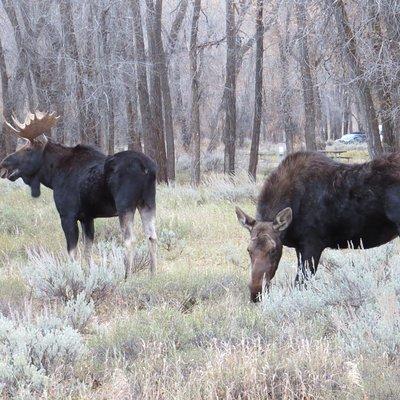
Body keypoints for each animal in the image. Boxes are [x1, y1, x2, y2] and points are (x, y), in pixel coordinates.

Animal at [0, 111, 157, 276]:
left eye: (28, 149)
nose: (3, 164)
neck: (53, 175)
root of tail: (147, 168)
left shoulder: (67, 215)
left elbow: (72, 251)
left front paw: (73, 274)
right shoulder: (87, 217)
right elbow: (87, 250)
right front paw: (88, 274)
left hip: (125, 205)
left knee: (130, 239)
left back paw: (127, 276)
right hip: (147, 203)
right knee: (152, 236)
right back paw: (153, 274)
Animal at [236, 152, 400, 302]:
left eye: (273, 250)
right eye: (249, 250)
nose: (256, 293)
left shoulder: (312, 244)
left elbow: (301, 283)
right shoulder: (300, 247)